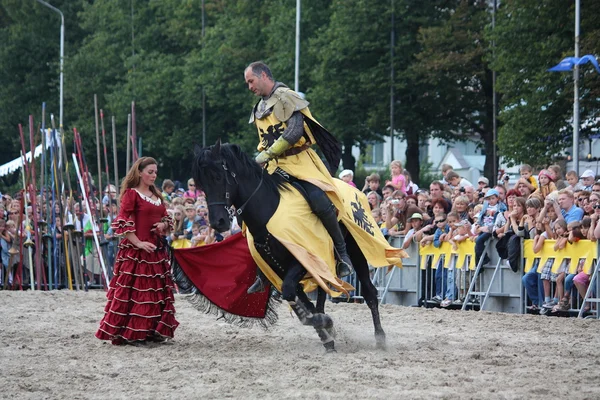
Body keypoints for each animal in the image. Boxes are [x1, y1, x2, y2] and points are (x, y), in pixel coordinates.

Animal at [195, 142, 386, 352]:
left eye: (218, 177)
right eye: (201, 184)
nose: (218, 222)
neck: (268, 211)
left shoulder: (302, 261)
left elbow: (292, 295)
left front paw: (325, 326)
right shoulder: (282, 268)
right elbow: (300, 301)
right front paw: (326, 332)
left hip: (357, 249)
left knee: (369, 291)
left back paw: (380, 337)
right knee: (322, 292)